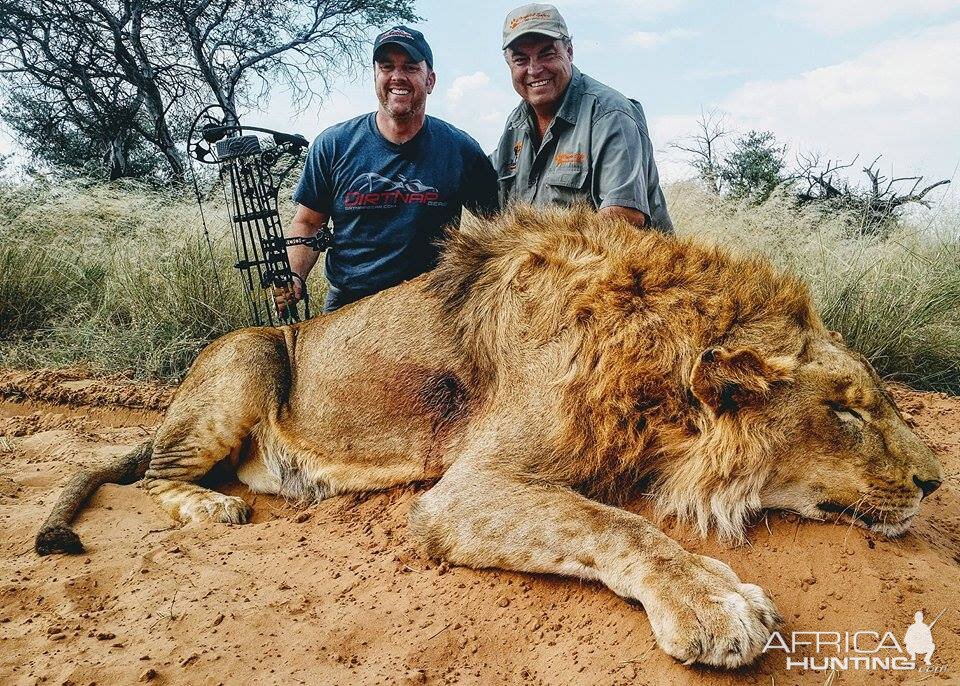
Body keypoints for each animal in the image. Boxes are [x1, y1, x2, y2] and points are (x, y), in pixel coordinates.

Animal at [35, 206, 944, 672]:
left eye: (881, 405)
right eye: (849, 414)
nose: (935, 484)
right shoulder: (465, 489)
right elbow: (613, 524)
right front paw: (714, 601)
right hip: (251, 353)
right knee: (152, 474)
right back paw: (209, 506)